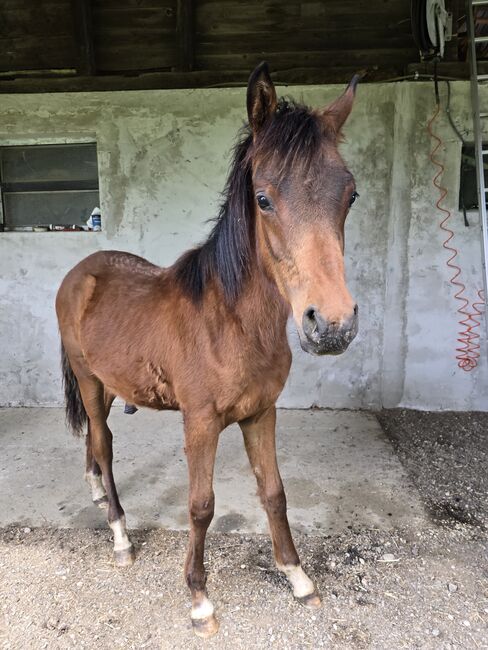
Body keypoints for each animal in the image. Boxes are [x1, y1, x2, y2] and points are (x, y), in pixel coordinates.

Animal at [57, 63, 360, 636]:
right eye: (263, 199)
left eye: (350, 195)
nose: (332, 326)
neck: (231, 322)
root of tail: (79, 272)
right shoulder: (200, 422)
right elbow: (200, 505)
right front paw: (199, 598)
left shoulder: (261, 413)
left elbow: (274, 492)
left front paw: (298, 577)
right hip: (87, 379)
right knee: (104, 444)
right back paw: (120, 535)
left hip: (108, 383)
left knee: (93, 442)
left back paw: (94, 491)